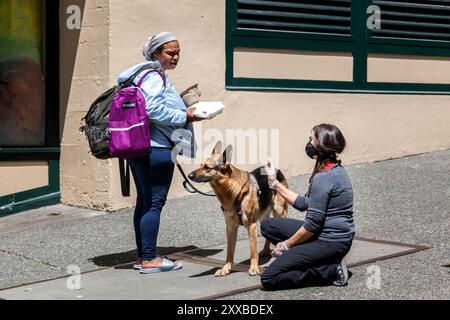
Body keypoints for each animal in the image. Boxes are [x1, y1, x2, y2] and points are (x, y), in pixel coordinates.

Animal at [187, 141, 288, 276]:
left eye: (207, 167)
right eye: (200, 165)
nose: (189, 176)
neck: (234, 193)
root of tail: (277, 170)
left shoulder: (251, 225)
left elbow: (252, 251)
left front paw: (254, 268)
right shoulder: (230, 228)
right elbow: (229, 252)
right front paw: (226, 268)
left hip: (279, 211)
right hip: (263, 217)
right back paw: (266, 250)